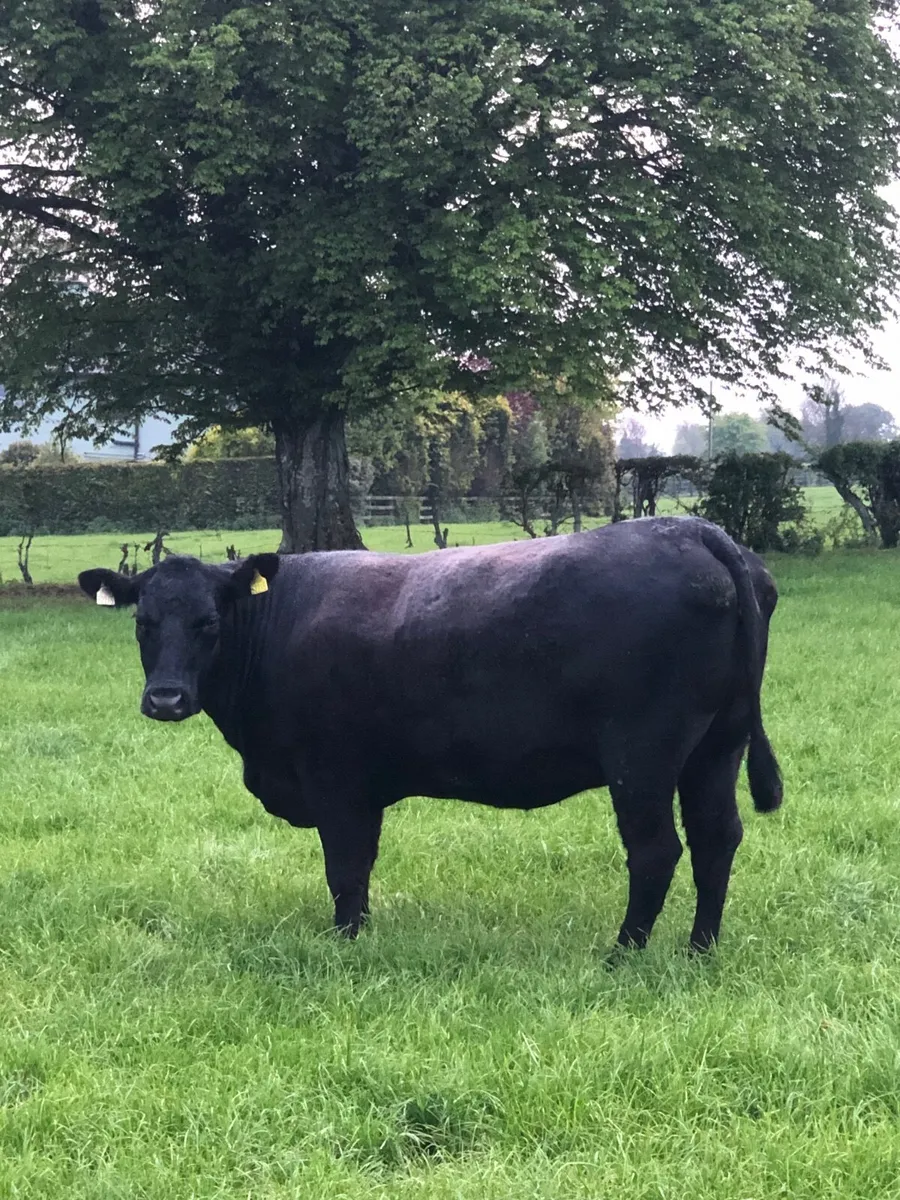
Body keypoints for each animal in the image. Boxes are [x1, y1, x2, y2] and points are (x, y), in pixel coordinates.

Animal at [78, 516, 782, 953]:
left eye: (208, 622)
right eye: (143, 622)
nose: (166, 698)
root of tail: (694, 530)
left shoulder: (336, 780)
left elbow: (346, 868)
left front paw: (345, 944)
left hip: (643, 754)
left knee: (656, 850)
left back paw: (622, 955)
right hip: (716, 748)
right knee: (717, 839)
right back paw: (698, 950)